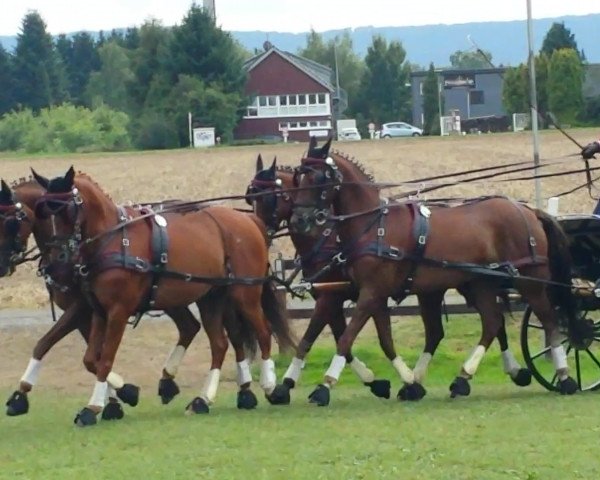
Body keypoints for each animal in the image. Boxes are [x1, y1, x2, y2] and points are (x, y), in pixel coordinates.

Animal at [31, 167, 294, 426]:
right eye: (42, 212)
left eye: (66, 209)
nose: (58, 260)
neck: (112, 240)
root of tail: (249, 220)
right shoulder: (99, 310)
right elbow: (90, 359)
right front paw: (121, 394)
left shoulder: (118, 311)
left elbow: (105, 359)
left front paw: (94, 407)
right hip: (211, 297)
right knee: (219, 343)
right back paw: (202, 399)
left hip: (244, 294)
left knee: (263, 333)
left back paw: (270, 386)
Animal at [246, 156, 392, 404]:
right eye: (250, 197)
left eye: (269, 198)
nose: (257, 232)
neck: (325, 238)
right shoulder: (330, 299)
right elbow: (342, 341)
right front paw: (373, 381)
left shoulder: (329, 298)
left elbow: (309, 339)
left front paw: (288, 385)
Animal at [292, 137, 588, 404]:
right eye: (298, 178)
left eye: (318, 177)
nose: (299, 219)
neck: (374, 225)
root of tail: (528, 210)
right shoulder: (374, 294)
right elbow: (380, 339)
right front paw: (409, 383)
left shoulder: (372, 292)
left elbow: (346, 339)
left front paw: (324, 386)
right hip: (480, 283)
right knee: (493, 322)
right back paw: (462, 379)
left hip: (531, 282)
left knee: (549, 321)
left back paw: (565, 376)